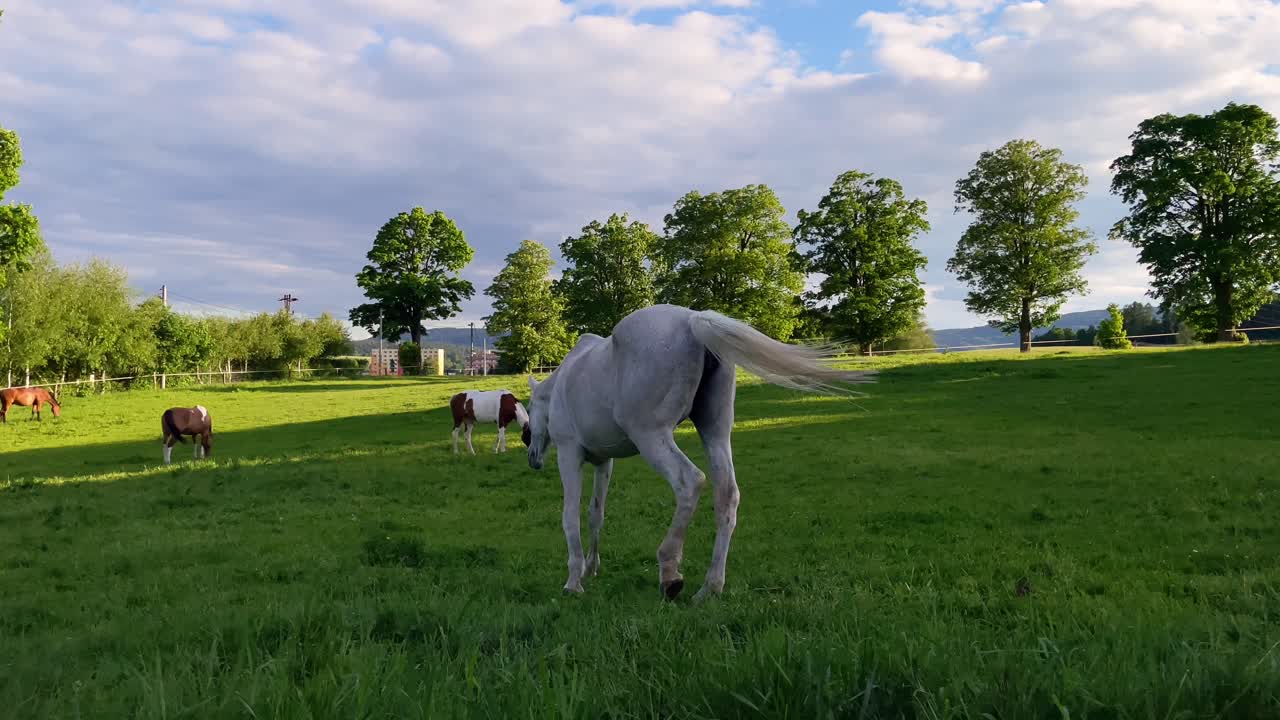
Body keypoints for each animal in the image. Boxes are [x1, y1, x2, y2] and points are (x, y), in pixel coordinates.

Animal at [524, 303, 877, 602]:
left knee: (690, 482)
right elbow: (595, 513)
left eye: (529, 413)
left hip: (651, 437)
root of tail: (692, 320)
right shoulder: (604, 462)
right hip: (715, 432)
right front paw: (590, 568)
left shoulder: (569, 455)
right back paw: (710, 588)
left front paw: (574, 580)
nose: (533, 459)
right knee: (727, 495)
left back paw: (670, 573)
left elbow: (570, 516)